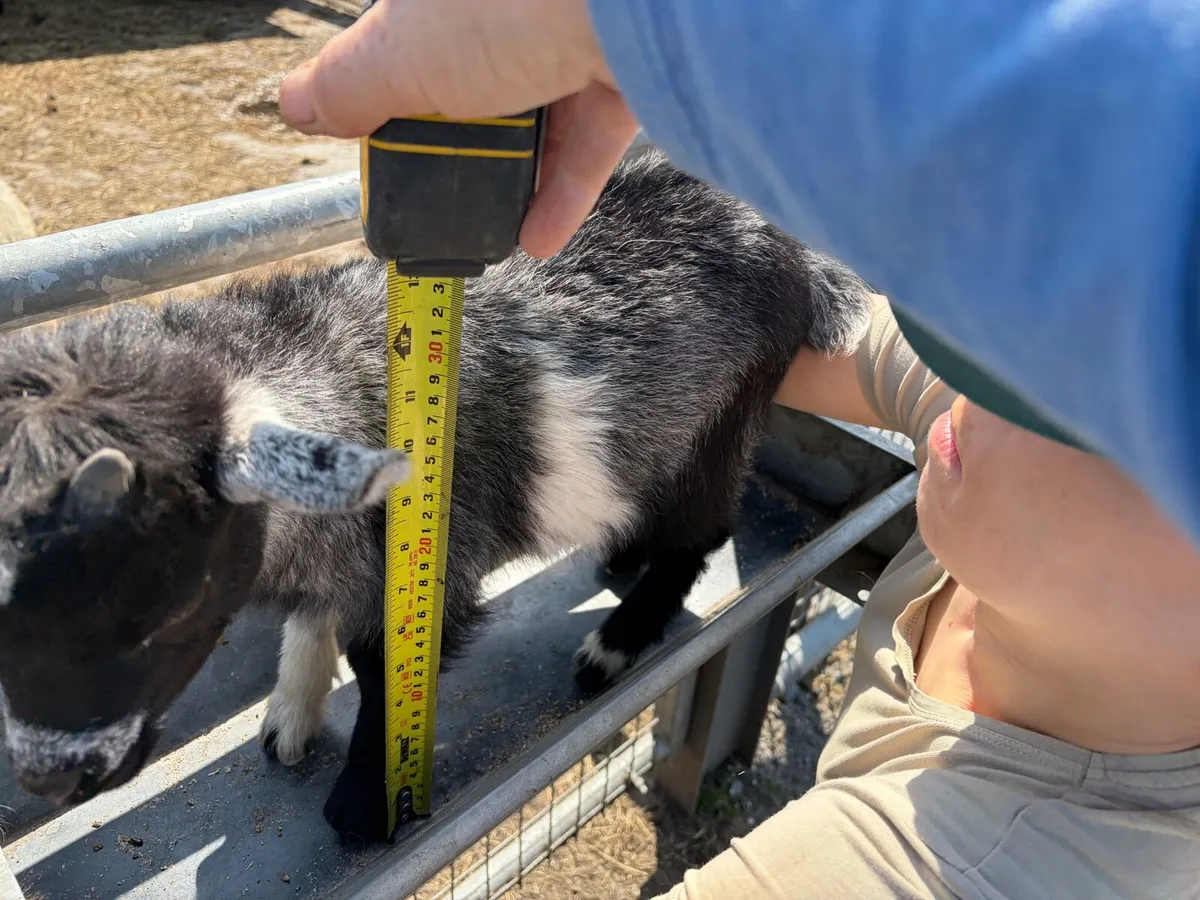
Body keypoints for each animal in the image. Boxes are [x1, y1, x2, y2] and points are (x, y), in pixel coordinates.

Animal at [0, 149, 870, 842]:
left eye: (153, 601)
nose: (53, 778)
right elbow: (313, 618)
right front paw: (290, 715)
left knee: (701, 531)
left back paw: (615, 643)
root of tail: (798, 251)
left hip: (721, 421)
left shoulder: (432, 571)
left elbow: (385, 675)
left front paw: (362, 805)